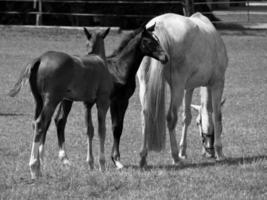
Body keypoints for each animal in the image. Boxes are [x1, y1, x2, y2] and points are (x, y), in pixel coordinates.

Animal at [138, 12, 228, 167]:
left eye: (198, 123)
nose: (209, 152)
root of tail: (159, 24)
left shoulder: (189, 87)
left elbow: (186, 117)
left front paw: (183, 151)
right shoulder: (217, 83)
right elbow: (217, 115)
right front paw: (219, 152)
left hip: (145, 84)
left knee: (145, 115)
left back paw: (144, 157)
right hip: (177, 86)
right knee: (170, 117)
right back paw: (175, 157)